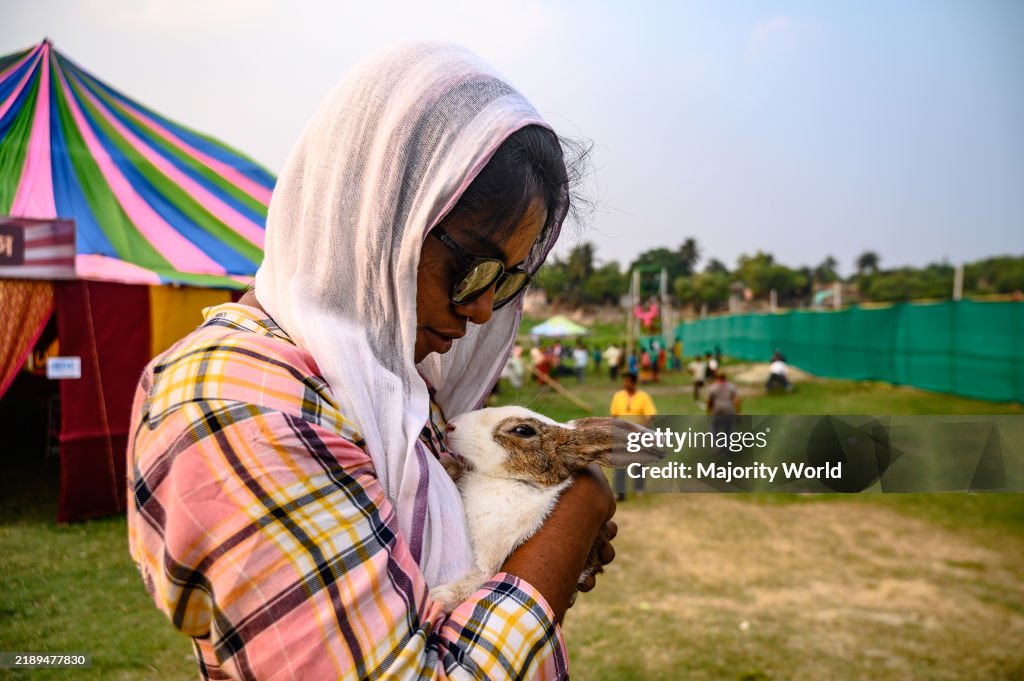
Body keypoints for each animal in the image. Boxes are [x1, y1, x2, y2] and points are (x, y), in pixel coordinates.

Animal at [430, 405, 664, 612]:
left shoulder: (492, 560)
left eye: (523, 431)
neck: (513, 482)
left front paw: (440, 597)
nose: (451, 425)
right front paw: (448, 465)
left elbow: (479, 580)